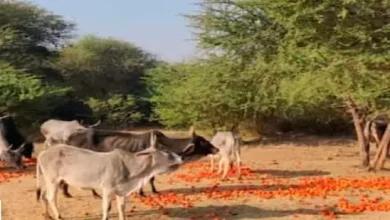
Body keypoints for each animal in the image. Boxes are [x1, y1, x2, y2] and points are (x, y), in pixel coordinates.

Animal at [36, 132, 183, 220]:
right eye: (165, 150)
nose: (181, 158)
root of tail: (43, 153)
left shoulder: (121, 192)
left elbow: (122, 208)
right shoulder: (107, 189)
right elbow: (106, 208)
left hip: (49, 181)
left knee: (43, 195)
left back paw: (47, 215)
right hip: (53, 181)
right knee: (51, 198)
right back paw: (58, 215)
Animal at [59, 126, 219, 199]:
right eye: (203, 141)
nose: (216, 148)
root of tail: (69, 137)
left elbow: (151, 179)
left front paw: (151, 191)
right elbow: (149, 179)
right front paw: (143, 193)